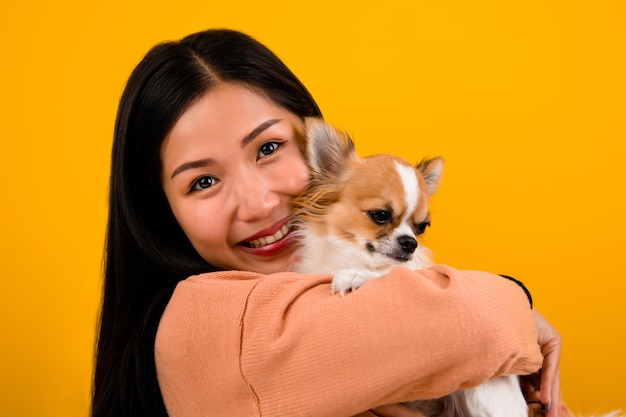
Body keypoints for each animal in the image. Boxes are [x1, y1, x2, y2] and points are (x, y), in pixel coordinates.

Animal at [290, 117, 528, 416]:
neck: (352, 256)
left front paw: (355, 275)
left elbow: (394, 273)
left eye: (422, 226)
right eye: (380, 215)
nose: (410, 243)